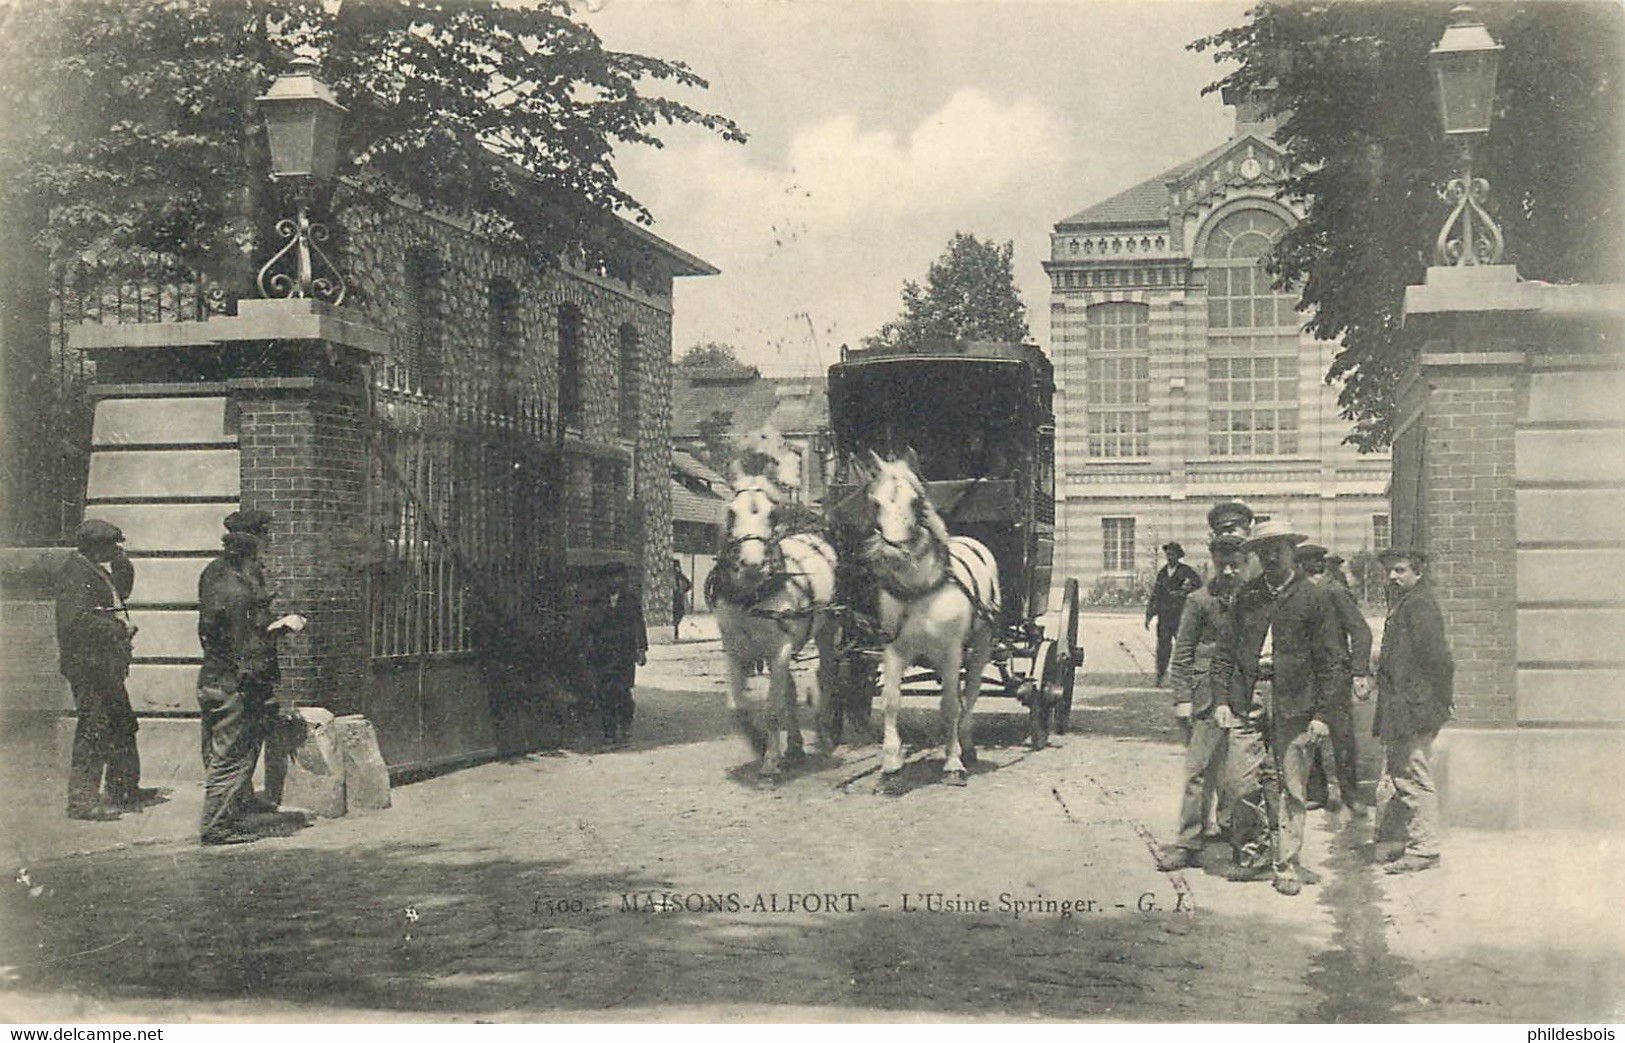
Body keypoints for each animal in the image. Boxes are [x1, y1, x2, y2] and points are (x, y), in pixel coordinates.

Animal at [711, 467, 838, 776]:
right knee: (790, 690)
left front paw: (769, 761)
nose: (752, 565)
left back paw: (824, 734)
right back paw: (794, 746)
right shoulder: (735, 649)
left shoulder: (779, 649)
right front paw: (757, 742)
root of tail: (813, 537)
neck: (750, 595)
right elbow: (736, 706)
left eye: (772, 515)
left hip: (827, 630)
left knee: (826, 676)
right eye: (732, 512)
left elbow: (772, 709)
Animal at [864, 451, 1001, 783]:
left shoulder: (951, 651)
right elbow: (891, 700)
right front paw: (891, 762)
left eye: (916, 501)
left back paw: (966, 742)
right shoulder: (893, 649)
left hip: (982, 641)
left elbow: (950, 704)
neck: (919, 590)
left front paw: (953, 761)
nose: (891, 555)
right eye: (875, 502)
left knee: (971, 689)